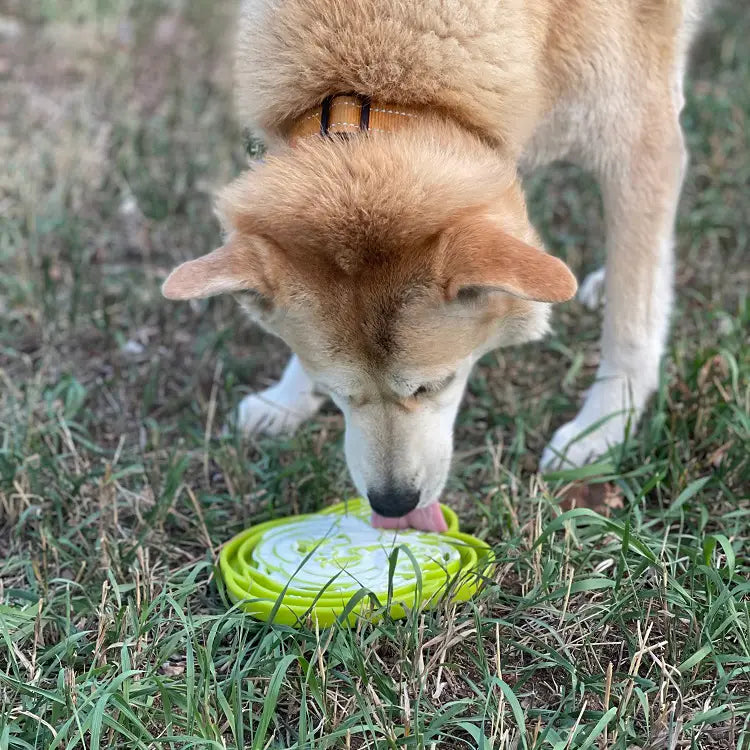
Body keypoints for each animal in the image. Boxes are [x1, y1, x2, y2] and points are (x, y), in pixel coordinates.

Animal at [163, 0, 704, 532]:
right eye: (340, 394)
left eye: (434, 385)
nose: (393, 504)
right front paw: (287, 398)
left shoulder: (642, 145)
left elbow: (632, 322)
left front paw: (604, 427)